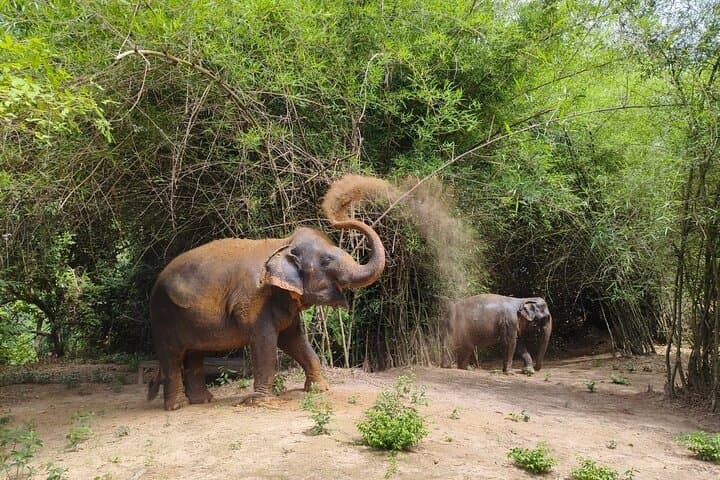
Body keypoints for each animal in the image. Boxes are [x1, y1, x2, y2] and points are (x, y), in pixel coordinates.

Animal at [147, 217, 385, 410]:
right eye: (326, 261)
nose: (337, 221)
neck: (283, 244)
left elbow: (294, 340)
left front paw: (319, 389)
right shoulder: (254, 301)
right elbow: (265, 343)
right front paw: (262, 402)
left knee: (194, 353)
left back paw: (203, 400)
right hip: (162, 316)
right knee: (172, 355)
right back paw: (178, 406)